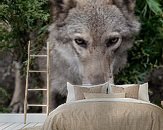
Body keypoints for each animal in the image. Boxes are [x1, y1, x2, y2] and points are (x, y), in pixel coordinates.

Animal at [10, 0, 140, 112]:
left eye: (113, 40)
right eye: (79, 41)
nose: (102, 91)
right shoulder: (49, 87)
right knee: (19, 67)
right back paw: (18, 102)